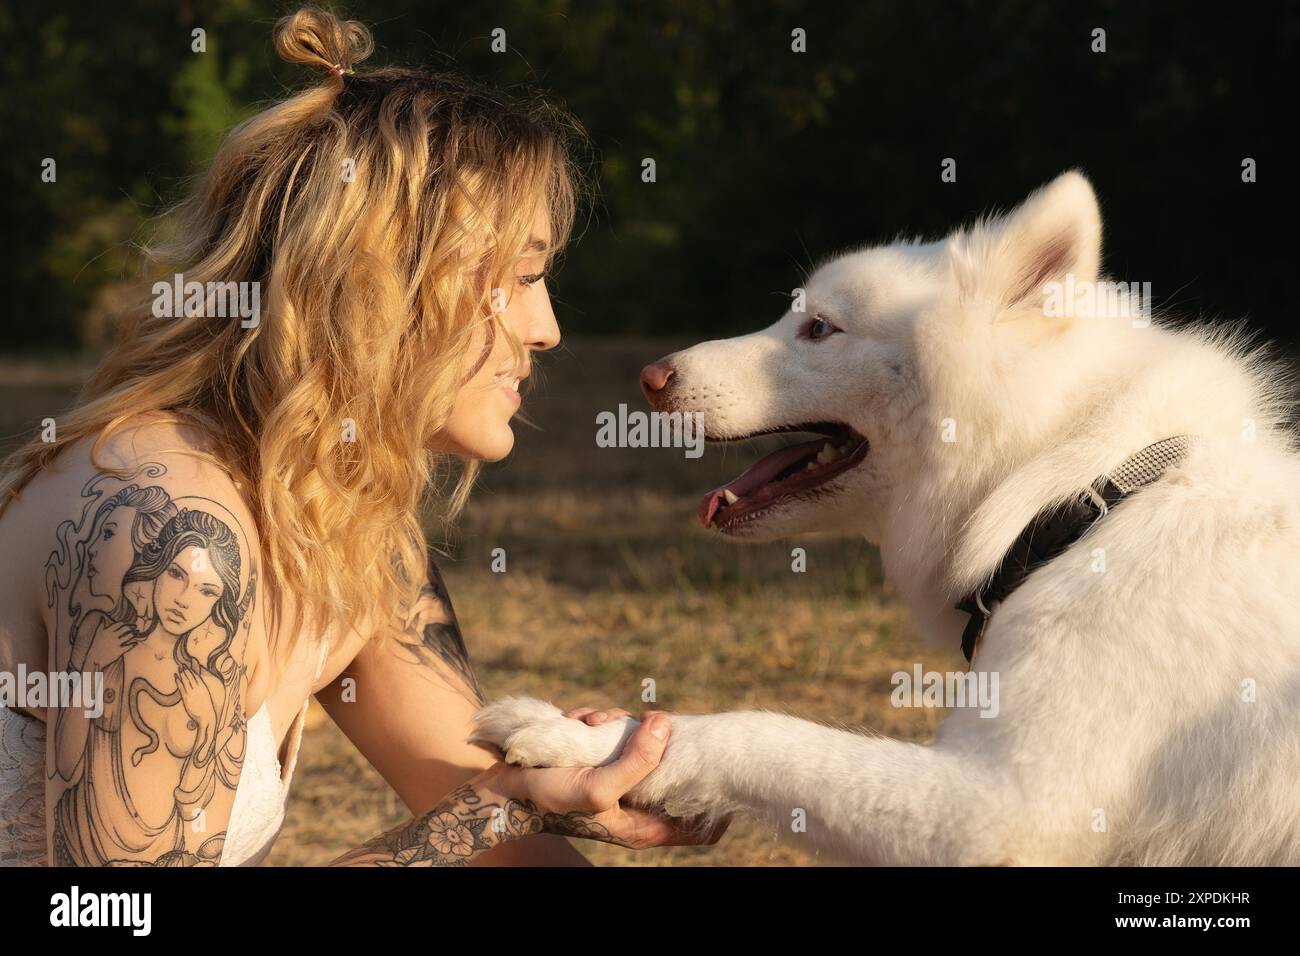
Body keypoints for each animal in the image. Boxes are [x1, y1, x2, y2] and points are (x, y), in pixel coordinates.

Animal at [470, 171, 1300, 868]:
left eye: (819, 329)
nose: (649, 376)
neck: (1079, 501)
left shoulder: (997, 812)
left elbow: (755, 730)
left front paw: (580, 741)